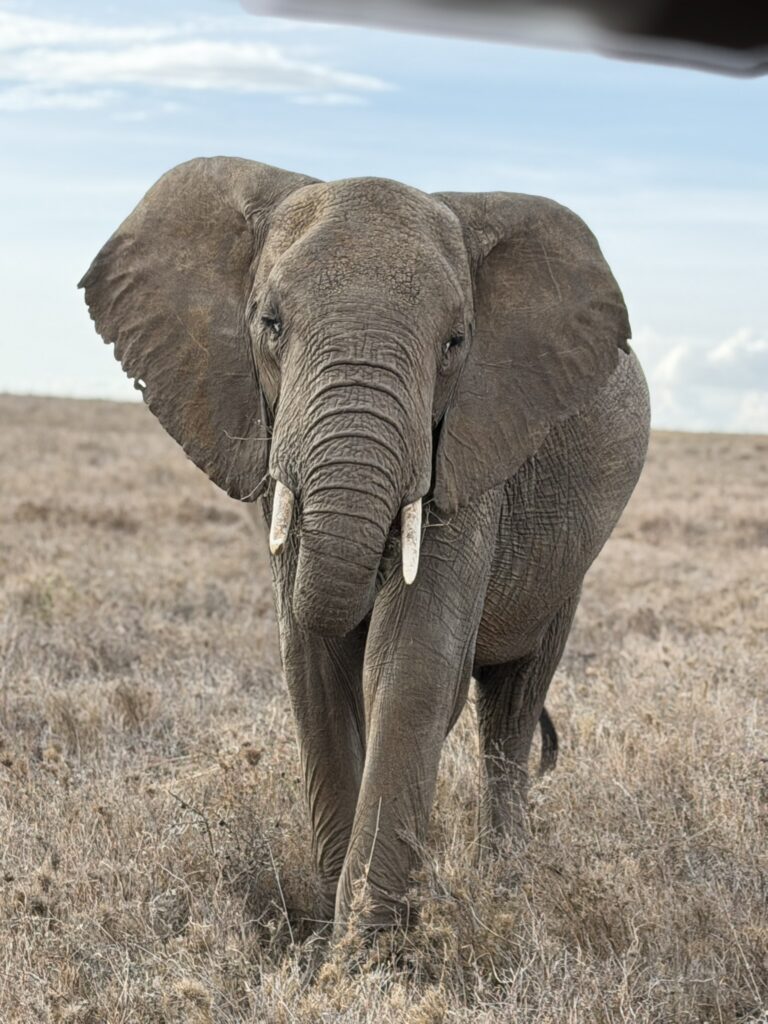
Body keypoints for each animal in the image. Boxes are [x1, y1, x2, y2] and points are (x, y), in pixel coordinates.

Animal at [79, 156, 650, 933]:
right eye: (270, 325)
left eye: (455, 344)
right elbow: (313, 669)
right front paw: (329, 923)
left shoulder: (467, 450)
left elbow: (408, 667)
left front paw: (366, 942)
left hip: (565, 565)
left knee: (512, 704)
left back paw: (503, 881)